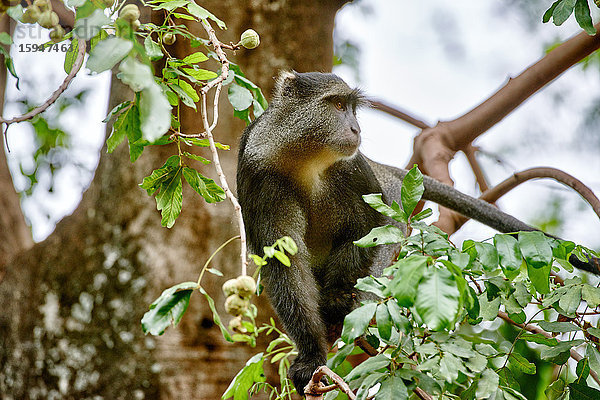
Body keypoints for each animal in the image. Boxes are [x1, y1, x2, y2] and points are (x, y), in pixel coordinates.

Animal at [237, 70, 596, 392]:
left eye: (352, 108)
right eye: (337, 105)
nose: (355, 128)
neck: (305, 157)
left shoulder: (355, 171)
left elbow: (373, 226)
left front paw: (344, 301)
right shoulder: (258, 173)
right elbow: (283, 260)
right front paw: (311, 355)